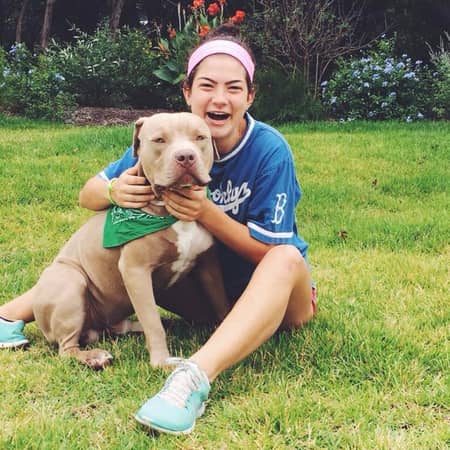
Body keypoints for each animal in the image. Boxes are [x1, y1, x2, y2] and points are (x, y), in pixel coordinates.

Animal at [31, 112, 230, 370]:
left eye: (200, 137)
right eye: (159, 140)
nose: (186, 156)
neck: (171, 209)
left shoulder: (209, 264)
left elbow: (221, 302)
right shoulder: (135, 270)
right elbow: (152, 324)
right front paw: (161, 361)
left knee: (126, 326)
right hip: (70, 281)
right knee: (67, 348)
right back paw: (93, 357)